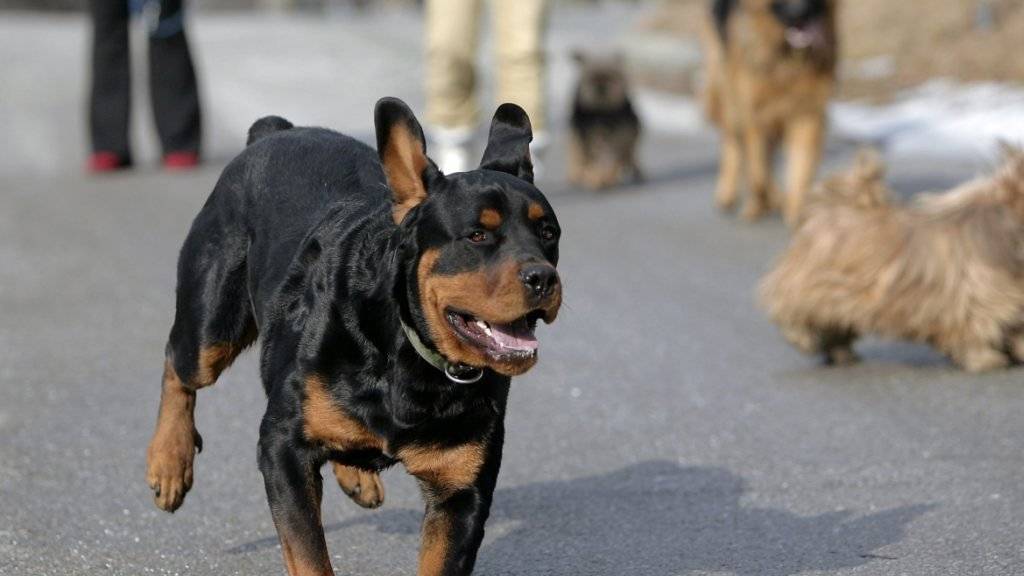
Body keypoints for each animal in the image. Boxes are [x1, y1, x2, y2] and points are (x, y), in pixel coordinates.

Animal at [569, 49, 638, 188]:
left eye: (611, 75)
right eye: (591, 77)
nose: (601, 87)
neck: (602, 111)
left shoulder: (620, 135)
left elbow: (614, 157)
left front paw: (607, 176)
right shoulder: (587, 136)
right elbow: (591, 158)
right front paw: (594, 177)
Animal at [704, 0, 839, 224]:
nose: (799, 13)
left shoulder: (805, 113)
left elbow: (799, 167)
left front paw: (796, 212)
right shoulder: (752, 112)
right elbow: (758, 169)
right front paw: (757, 206)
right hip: (729, 95)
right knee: (734, 142)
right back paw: (729, 194)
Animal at [757, 148, 1024, 373]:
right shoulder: (973, 298)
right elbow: (975, 327)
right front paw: (984, 359)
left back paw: (841, 352)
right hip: (812, 286)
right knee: (794, 310)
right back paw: (804, 338)